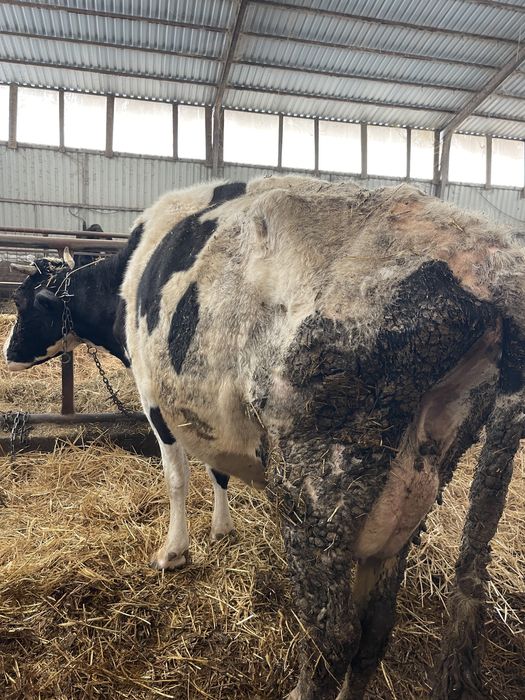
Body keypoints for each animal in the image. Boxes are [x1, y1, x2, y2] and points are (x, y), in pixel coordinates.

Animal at [4, 176, 525, 700]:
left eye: (22, 304)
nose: (9, 354)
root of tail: (490, 258)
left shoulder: (156, 397)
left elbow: (177, 479)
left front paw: (173, 552)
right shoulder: (205, 407)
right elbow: (217, 469)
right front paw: (221, 528)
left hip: (316, 485)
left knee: (334, 636)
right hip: (416, 485)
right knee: (376, 628)